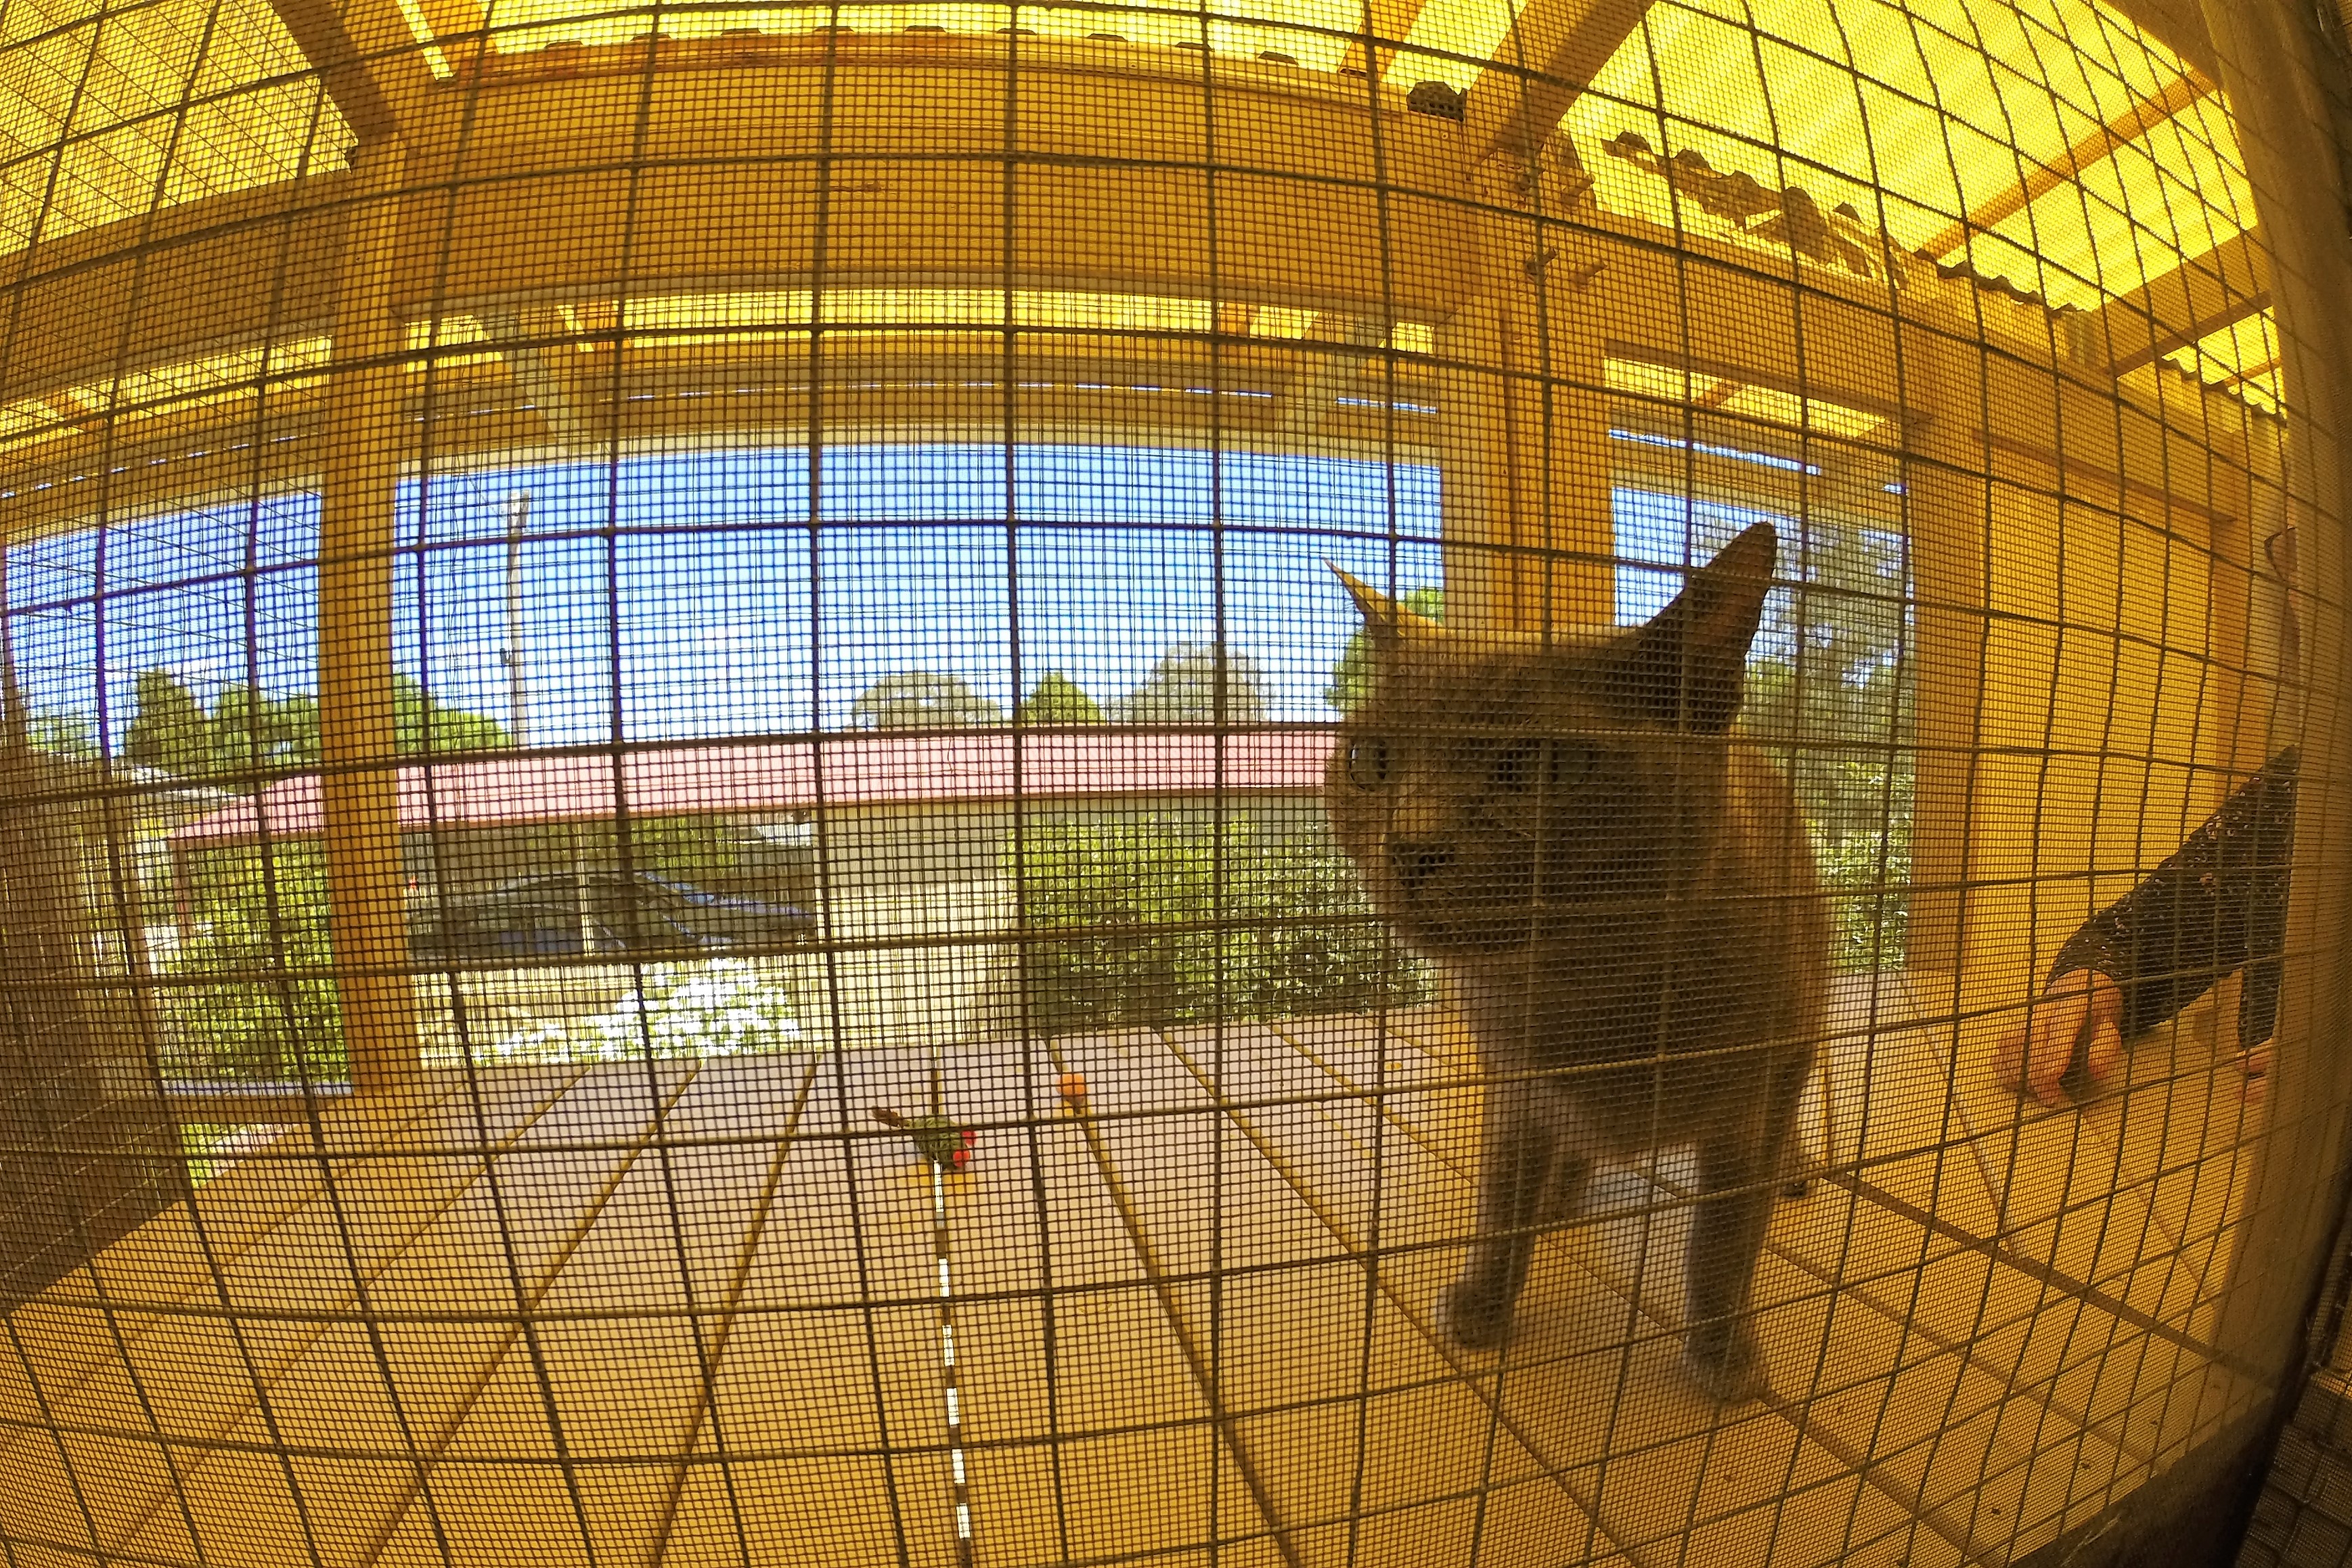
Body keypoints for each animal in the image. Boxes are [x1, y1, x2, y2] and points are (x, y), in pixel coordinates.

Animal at [1317, 522, 1825, 1401]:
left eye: (1539, 767)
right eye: (1371, 760)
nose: (1411, 846)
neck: (1584, 996)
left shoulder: (1751, 1104)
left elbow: (1722, 1240)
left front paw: (1724, 1353)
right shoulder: (1516, 1087)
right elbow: (1500, 1204)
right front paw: (1483, 1303)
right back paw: (1565, 1186)